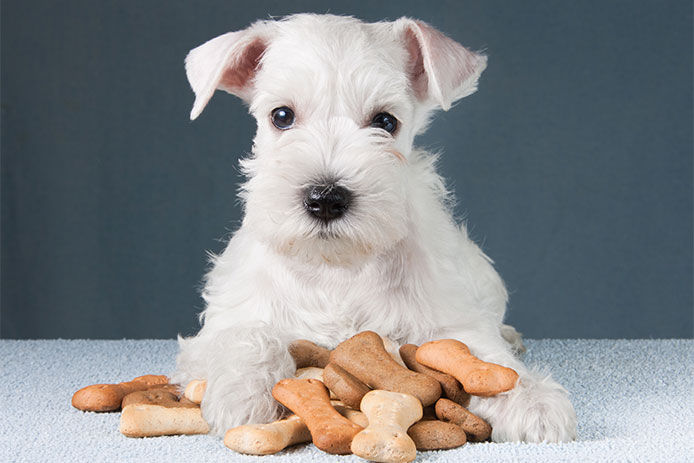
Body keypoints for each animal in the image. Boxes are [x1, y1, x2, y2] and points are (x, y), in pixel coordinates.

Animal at [173, 12, 576, 444]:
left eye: (385, 121)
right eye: (281, 116)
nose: (325, 198)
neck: (338, 268)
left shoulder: (449, 322)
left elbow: (480, 355)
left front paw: (531, 400)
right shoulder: (226, 321)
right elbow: (248, 335)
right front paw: (245, 392)